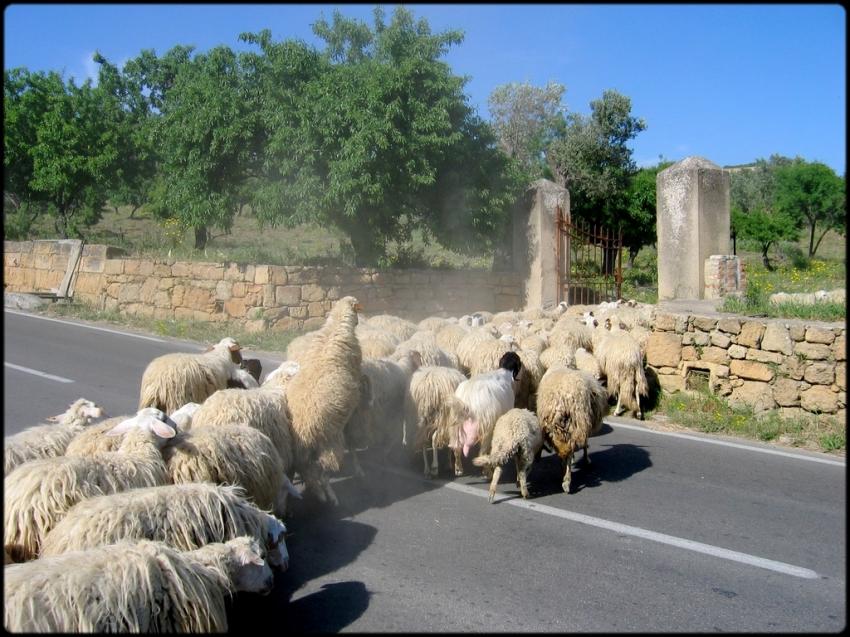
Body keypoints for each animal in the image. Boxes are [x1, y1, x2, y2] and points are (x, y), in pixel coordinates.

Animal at [284, 296, 364, 505]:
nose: (359, 321)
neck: (336, 326)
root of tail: (303, 428)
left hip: (304, 452)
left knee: (309, 472)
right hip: (329, 442)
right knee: (323, 473)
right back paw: (329, 496)